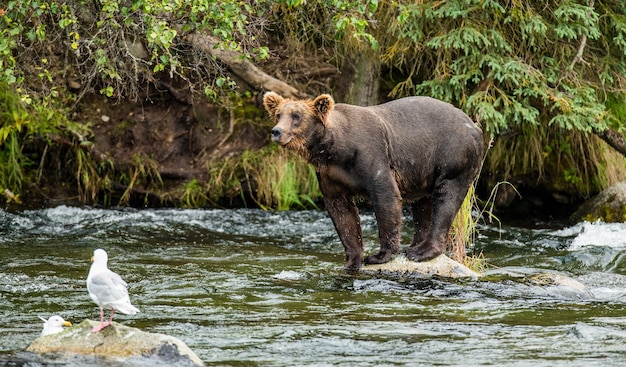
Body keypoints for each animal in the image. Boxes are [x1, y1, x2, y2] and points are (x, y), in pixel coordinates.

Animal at [262, 91, 482, 270]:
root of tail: (475, 126)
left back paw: (422, 251)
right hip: (424, 170)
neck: (336, 150)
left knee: (446, 199)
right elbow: (343, 214)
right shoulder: (330, 175)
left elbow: (386, 198)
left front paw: (380, 255)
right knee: (423, 204)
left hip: (453, 155)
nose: (276, 131)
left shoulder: (372, 157)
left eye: (297, 116)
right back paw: (415, 245)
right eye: (279, 114)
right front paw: (352, 260)